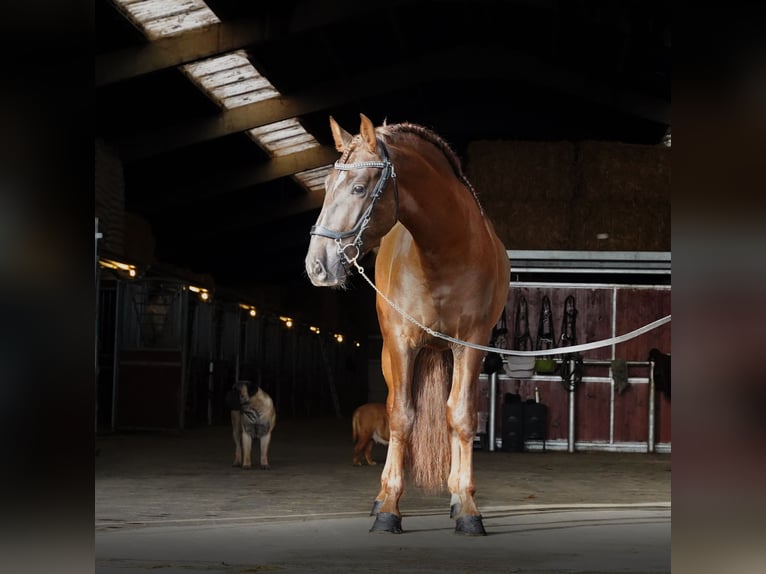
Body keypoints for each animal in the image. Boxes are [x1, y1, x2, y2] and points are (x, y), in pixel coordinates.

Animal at [304, 115, 510, 536]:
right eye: (327, 186)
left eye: (359, 187)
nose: (317, 265)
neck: (444, 253)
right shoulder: (401, 344)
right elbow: (400, 417)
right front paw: (389, 509)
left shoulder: (471, 345)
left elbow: (461, 418)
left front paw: (467, 508)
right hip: (391, 355)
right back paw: (381, 497)